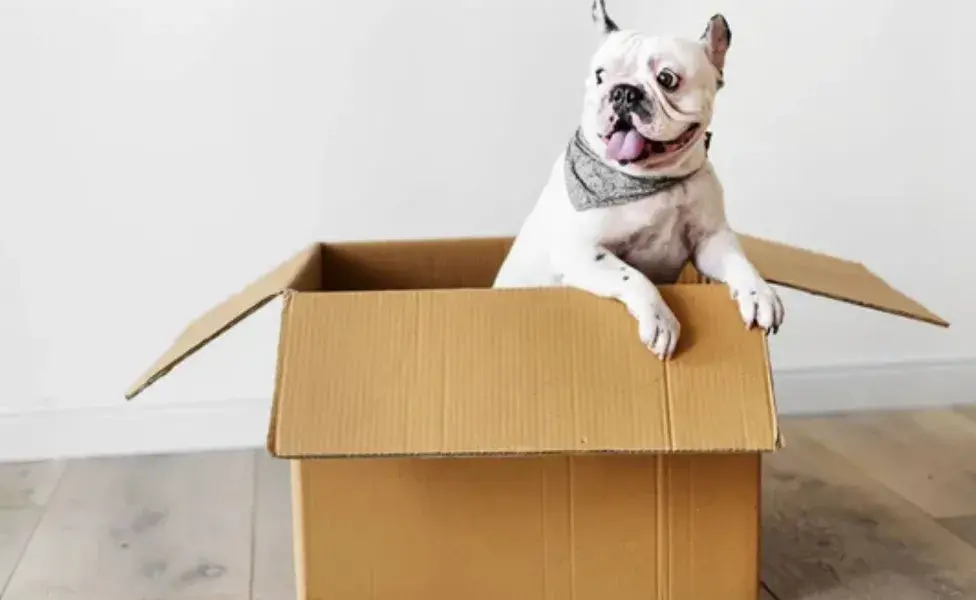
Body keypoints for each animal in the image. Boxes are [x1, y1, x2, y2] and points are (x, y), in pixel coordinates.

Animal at [492, 2, 780, 358]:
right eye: (600, 75)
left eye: (667, 79)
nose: (623, 92)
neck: (653, 179)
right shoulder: (581, 251)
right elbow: (633, 276)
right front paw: (661, 321)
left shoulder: (711, 240)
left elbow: (739, 261)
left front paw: (760, 293)